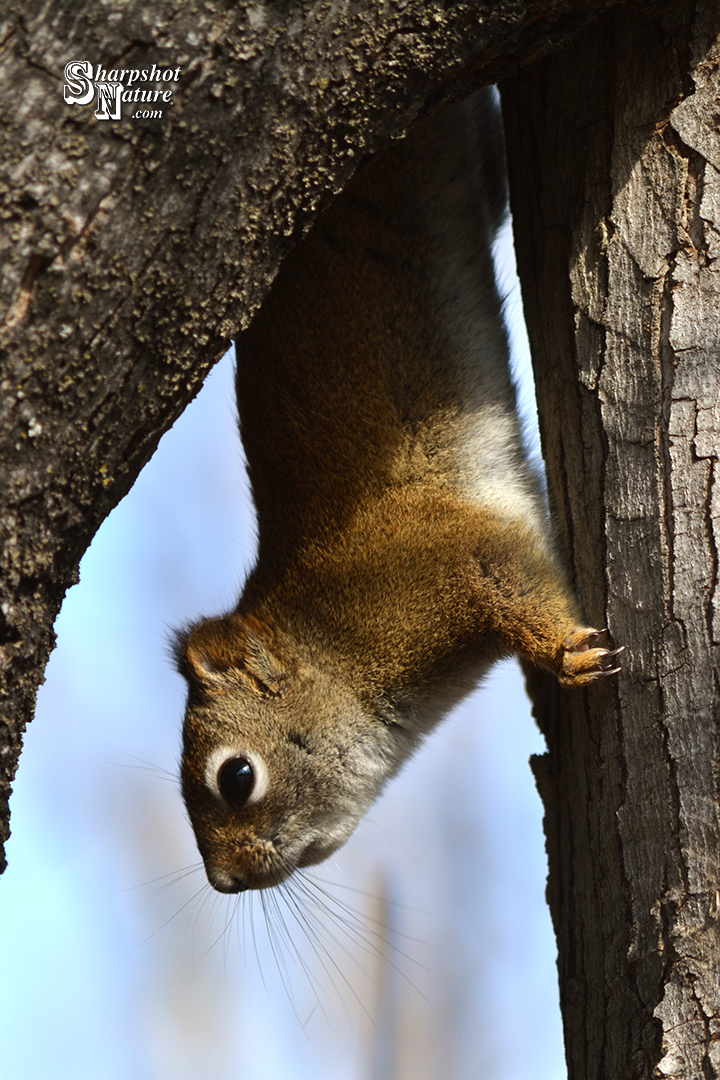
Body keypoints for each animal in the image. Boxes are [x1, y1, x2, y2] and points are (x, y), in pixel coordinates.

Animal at [175, 89, 621, 895]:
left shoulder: (449, 558)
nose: (224, 881)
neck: (332, 638)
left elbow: (514, 580)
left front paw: (566, 655)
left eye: (236, 778)